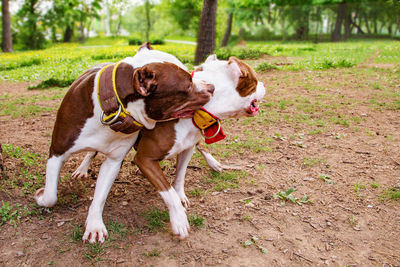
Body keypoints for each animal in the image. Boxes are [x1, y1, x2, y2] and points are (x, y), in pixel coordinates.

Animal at [34, 58, 214, 245]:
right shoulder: (57, 152)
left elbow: (100, 196)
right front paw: (41, 195)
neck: (113, 107)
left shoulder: (113, 163)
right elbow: (51, 196)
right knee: (90, 153)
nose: (211, 87)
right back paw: (82, 169)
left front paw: (94, 225)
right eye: (188, 84)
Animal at [72, 47, 266, 242]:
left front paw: (181, 194)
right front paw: (179, 219)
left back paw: (214, 163)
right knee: (92, 151)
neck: (196, 112)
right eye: (256, 81)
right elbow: (167, 189)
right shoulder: (144, 159)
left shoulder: (187, 146)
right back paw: (82, 169)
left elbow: (180, 174)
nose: (264, 85)